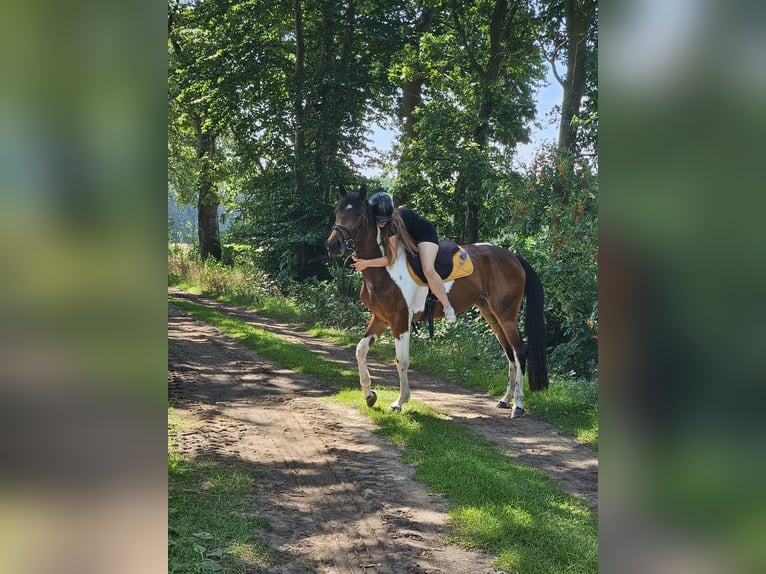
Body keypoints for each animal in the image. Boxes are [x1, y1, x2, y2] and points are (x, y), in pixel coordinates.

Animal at [328, 184, 548, 418]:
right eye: (337, 211)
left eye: (358, 215)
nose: (333, 244)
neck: (384, 268)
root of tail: (513, 257)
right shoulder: (381, 318)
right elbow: (360, 350)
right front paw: (370, 396)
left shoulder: (400, 321)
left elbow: (401, 361)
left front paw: (399, 401)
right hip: (490, 313)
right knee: (509, 353)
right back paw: (505, 400)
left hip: (506, 314)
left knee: (519, 351)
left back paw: (518, 405)